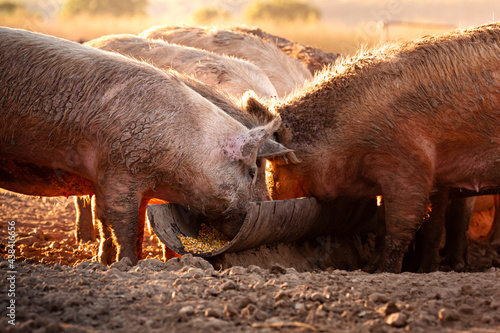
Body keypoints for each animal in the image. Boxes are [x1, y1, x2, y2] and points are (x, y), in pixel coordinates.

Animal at [260, 23, 500, 272]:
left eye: (276, 168)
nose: (273, 200)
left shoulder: (408, 163)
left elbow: (402, 222)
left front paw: (388, 270)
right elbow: (386, 222)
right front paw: (373, 268)